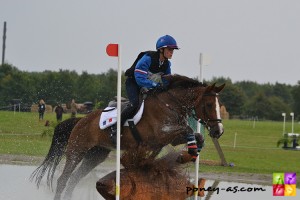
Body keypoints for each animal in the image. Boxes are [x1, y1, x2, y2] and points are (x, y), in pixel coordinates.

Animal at [31, 74, 225, 200]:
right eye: (209, 104)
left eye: (218, 104)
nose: (218, 131)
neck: (170, 104)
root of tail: (80, 120)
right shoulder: (161, 135)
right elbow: (190, 131)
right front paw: (185, 155)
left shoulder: (169, 138)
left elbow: (196, 135)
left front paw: (187, 155)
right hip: (77, 150)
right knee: (63, 179)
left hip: (96, 155)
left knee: (73, 180)